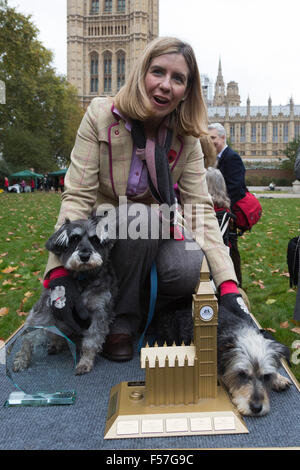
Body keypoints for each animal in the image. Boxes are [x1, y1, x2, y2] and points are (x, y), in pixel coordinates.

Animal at [12, 218, 118, 376]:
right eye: (74, 239)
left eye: (95, 239)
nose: (84, 256)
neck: (82, 280)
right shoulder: (45, 309)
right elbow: (28, 336)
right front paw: (21, 359)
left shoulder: (99, 312)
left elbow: (91, 341)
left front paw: (85, 362)